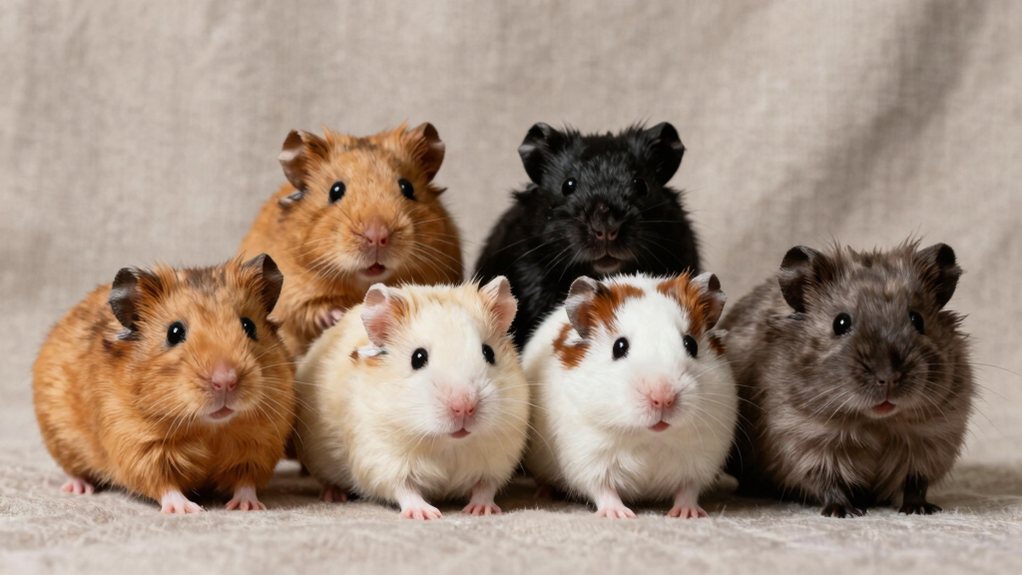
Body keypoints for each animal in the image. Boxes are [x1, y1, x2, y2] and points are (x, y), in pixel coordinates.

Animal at [32, 255, 295, 513]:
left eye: (249, 326)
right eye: (174, 332)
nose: (225, 381)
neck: (209, 428)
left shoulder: (260, 444)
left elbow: (246, 481)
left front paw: (247, 507)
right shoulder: (139, 447)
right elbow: (164, 484)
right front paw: (187, 509)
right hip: (61, 440)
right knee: (74, 470)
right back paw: (78, 488)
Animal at [239, 123, 464, 357]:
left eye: (407, 188)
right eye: (335, 190)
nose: (377, 237)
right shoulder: (292, 298)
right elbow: (311, 310)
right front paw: (338, 314)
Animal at [294, 277, 529, 519]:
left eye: (488, 353)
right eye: (418, 357)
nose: (464, 408)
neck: (447, 444)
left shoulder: (498, 458)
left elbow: (485, 487)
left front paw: (482, 511)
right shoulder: (381, 458)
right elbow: (404, 488)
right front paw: (426, 514)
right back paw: (334, 495)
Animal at [523, 272, 736, 518]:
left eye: (690, 344)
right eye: (619, 347)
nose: (663, 398)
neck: (650, 437)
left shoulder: (702, 458)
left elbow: (688, 490)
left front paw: (686, 514)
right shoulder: (587, 457)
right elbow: (603, 490)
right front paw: (620, 515)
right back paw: (543, 494)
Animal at [721, 241, 974, 517]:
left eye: (918, 320)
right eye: (840, 322)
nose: (888, 378)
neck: (876, 423)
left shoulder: (932, 439)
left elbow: (915, 484)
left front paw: (920, 510)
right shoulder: (804, 438)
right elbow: (828, 482)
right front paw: (844, 512)